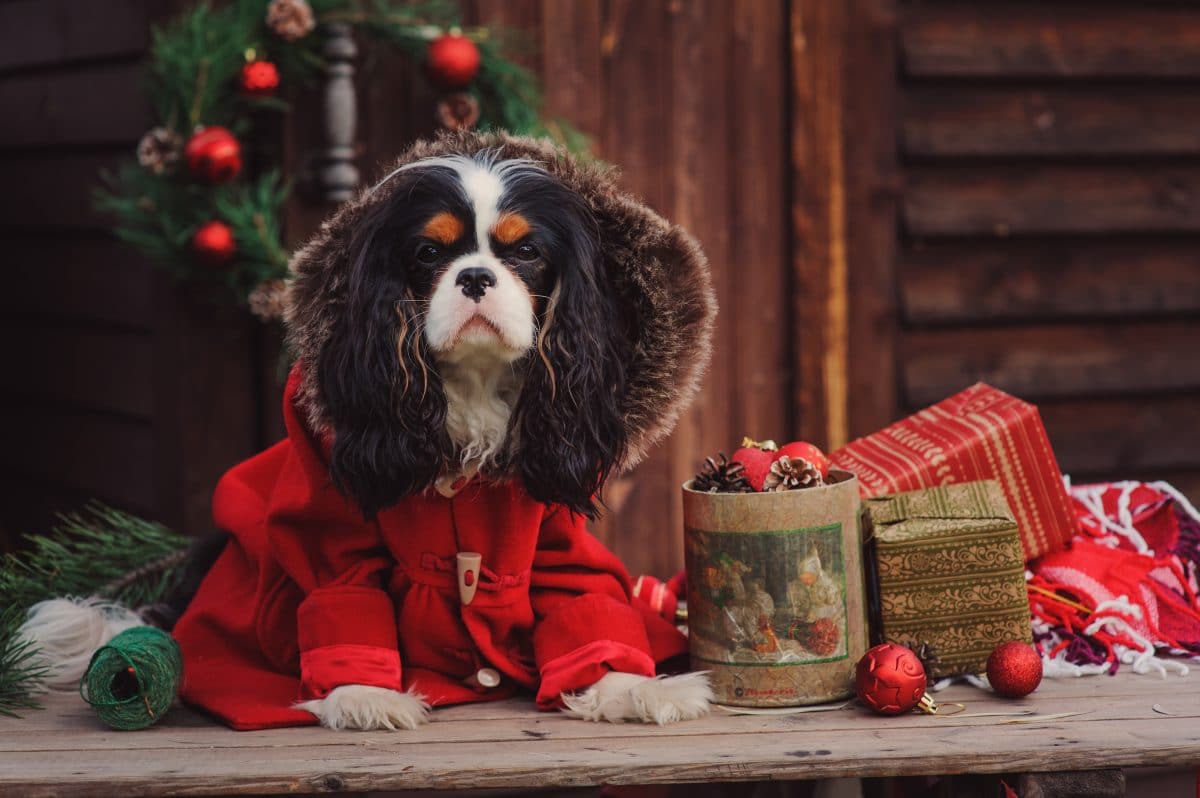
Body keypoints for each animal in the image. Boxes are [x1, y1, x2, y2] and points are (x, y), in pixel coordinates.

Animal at [160, 133, 720, 729]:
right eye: (429, 253)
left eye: (527, 253)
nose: (474, 277)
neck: (473, 380)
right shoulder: (329, 520)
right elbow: (342, 587)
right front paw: (363, 694)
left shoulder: (553, 533)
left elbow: (581, 594)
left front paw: (627, 686)